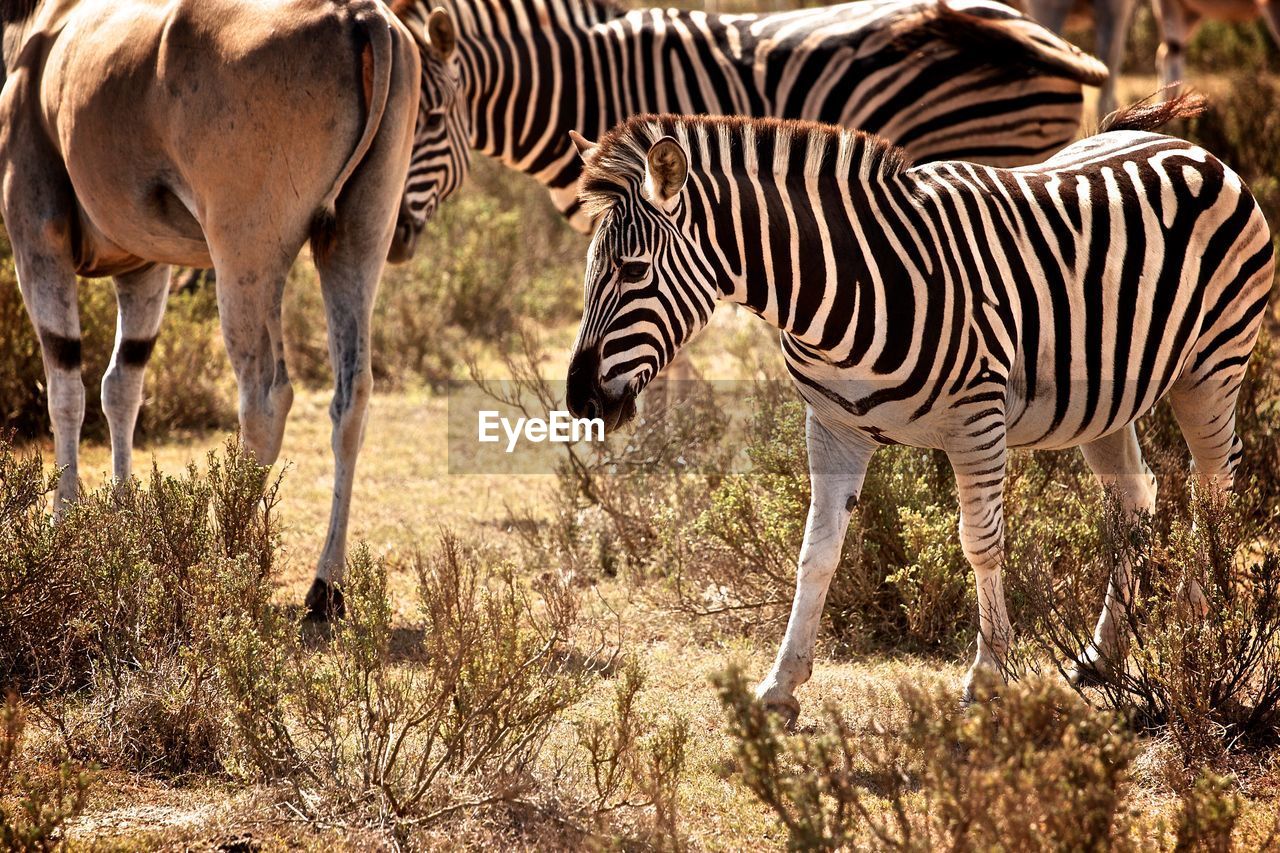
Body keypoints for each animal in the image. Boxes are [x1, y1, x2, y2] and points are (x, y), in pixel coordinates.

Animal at [2, 0, 427, 614]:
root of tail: (358, 14)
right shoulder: (144, 267)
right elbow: (121, 385)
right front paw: (122, 521)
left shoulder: (37, 237)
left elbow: (67, 387)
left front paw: (65, 526)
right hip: (356, 240)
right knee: (352, 397)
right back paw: (325, 589)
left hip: (243, 255)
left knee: (265, 400)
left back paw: (229, 561)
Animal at [565, 94, 1274, 717]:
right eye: (589, 265)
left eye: (632, 271)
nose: (579, 399)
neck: (847, 284)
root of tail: (1185, 145)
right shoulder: (832, 426)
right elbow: (815, 552)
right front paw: (781, 685)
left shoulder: (976, 421)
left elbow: (980, 545)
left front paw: (986, 678)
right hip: (1102, 399)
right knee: (1136, 496)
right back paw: (1104, 655)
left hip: (1212, 366)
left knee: (1215, 485)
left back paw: (1203, 628)